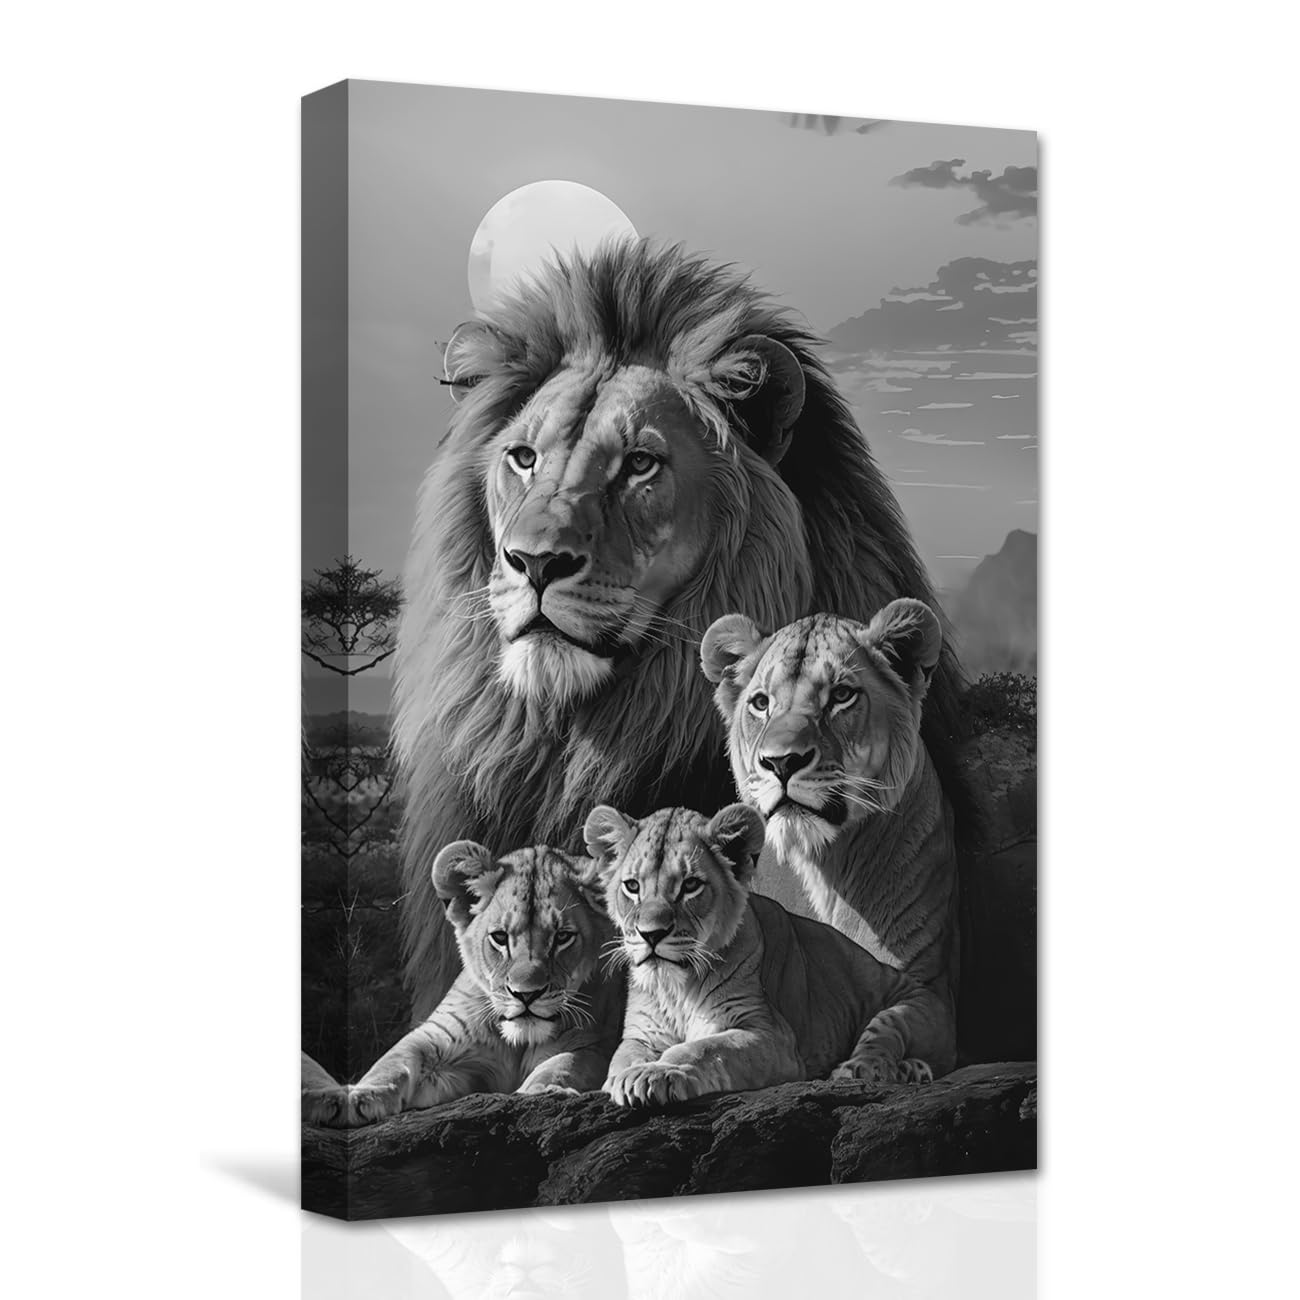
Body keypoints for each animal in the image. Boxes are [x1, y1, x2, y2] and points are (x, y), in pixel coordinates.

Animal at [302, 840, 623, 1127]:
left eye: (563, 937)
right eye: (500, 937)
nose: (526, 995)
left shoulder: (592, 1044)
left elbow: (562, 1065)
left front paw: (543, 1091)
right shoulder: (438, 1040)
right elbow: (395, 1059)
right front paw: (360, 1095)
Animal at [584, 801, 955, 1107]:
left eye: (690, 886)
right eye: (632, 887)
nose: (651, 934)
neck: (675, 988)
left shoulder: (772, 1036)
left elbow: (702, 1048)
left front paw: (656, 1074)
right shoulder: (640, 1035)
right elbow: (622, 1060)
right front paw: (623, 1078)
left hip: (909, 1007)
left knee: (882, 1043)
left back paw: (865, 1070)